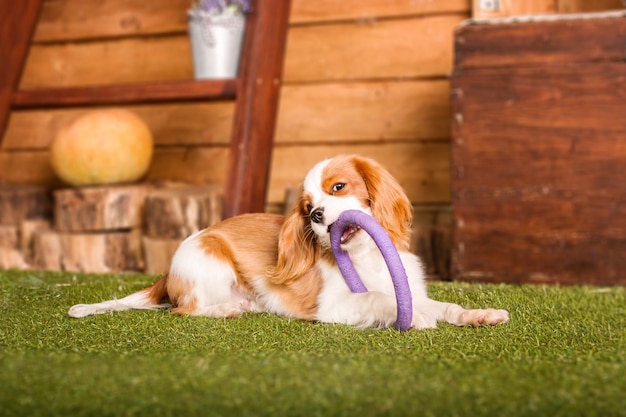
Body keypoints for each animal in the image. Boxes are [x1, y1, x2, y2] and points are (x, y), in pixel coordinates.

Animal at [68, 154, 508, 328]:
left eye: (338, 187)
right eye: (307, 207)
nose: (317, 216)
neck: (366, 256)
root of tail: (167, 273)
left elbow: (447, 305)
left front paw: (480, 314)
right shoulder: (335, 307)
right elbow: (379, 298)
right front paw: (413, 318)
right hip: (210, 260)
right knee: (184, 310)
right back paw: (225, 310)